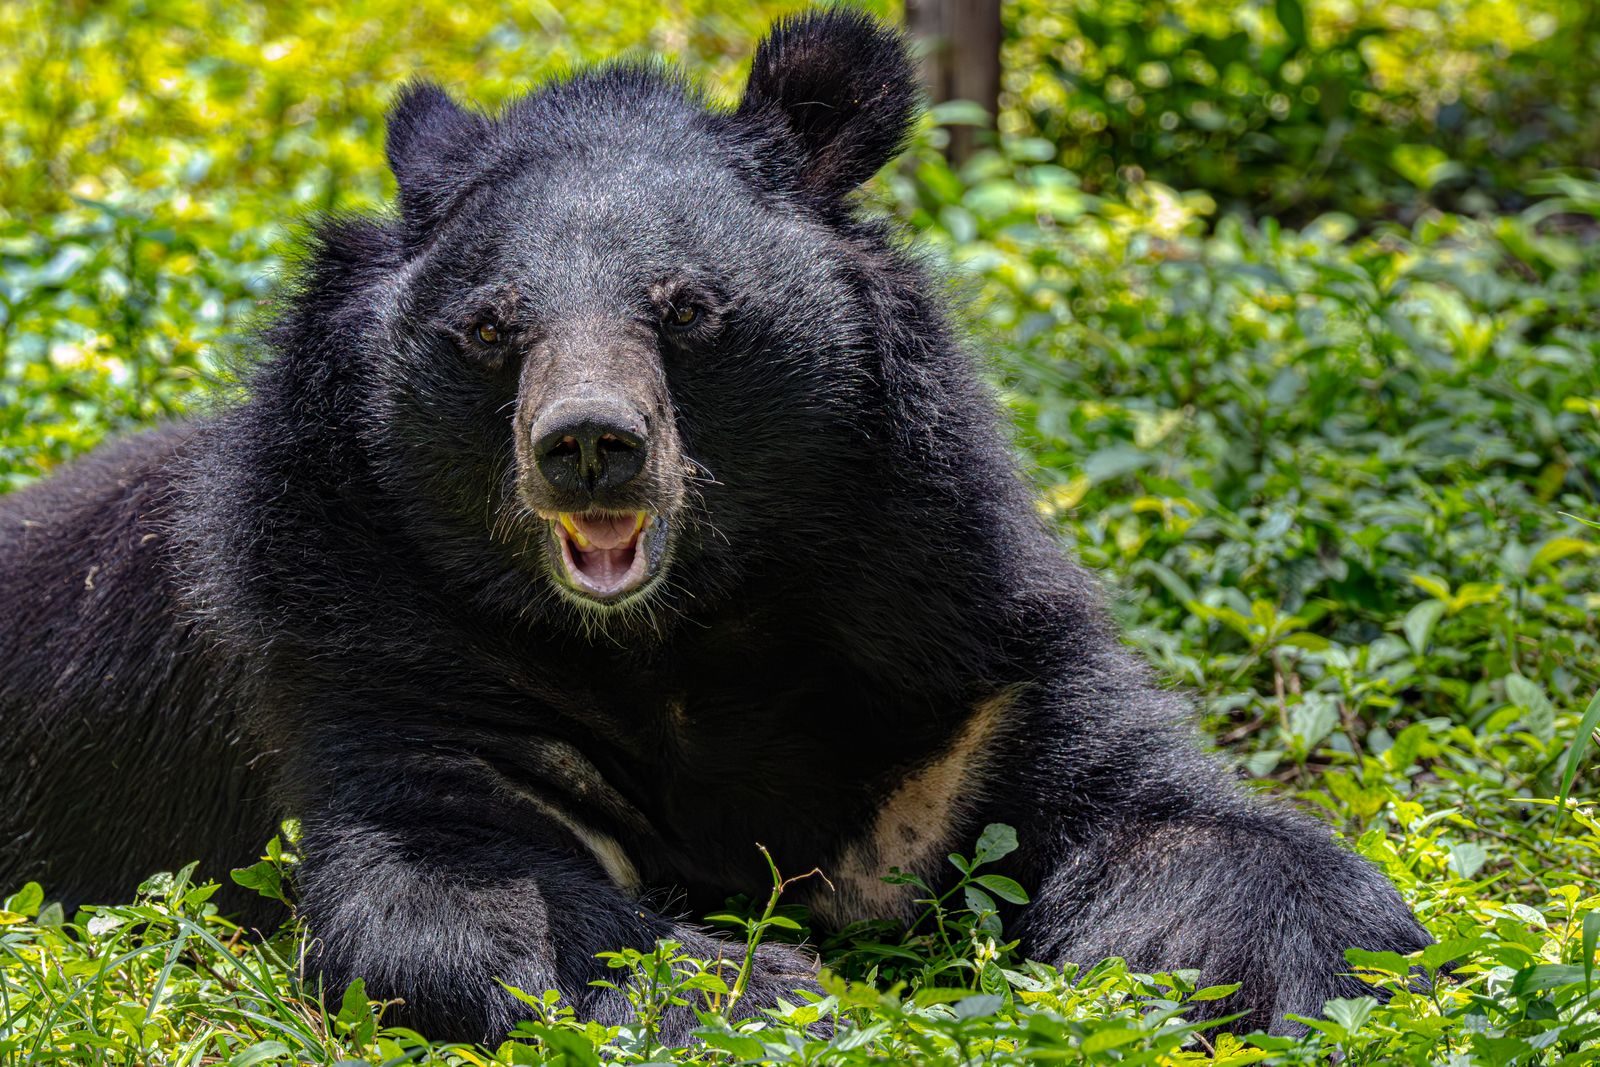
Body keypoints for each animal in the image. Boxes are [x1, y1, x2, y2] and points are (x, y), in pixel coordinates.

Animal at [0, 9, 1430, 1045]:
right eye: (491, 328)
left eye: (686, 307)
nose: (587, 443)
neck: (681, 632)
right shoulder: (368, 643)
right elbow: (449, 893)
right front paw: (781, 995)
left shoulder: (950, 633)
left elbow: (1162, 816)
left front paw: (1339, 967)